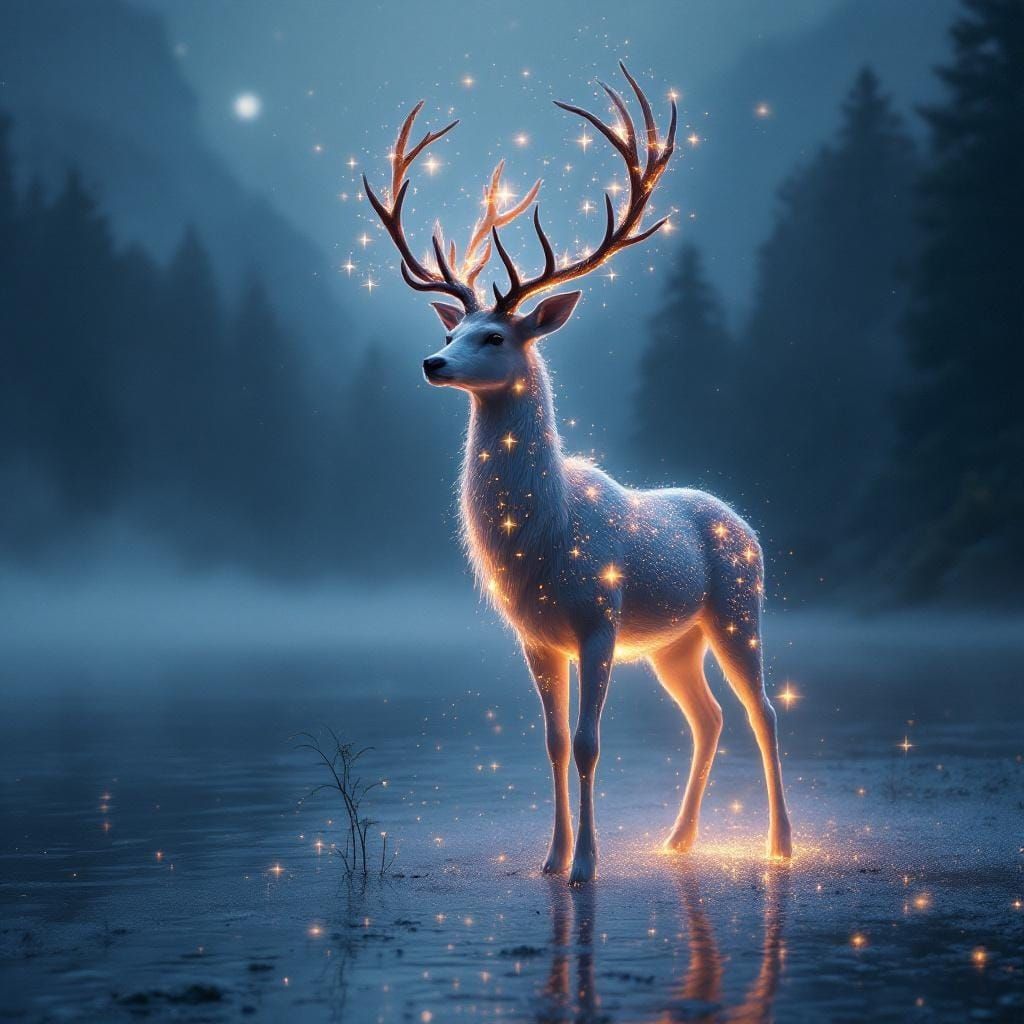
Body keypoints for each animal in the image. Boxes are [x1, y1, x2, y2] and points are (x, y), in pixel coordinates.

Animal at [363, 64, 792, 885]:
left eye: (494, 336)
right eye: (453, 331)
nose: (432, 362)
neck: (543, 534)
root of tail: (743, 521)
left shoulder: (599, 618)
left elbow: (592, 745)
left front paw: (588, 866)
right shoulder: (535, 636)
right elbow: (555, 744)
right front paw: (551, 858)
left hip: (737, 610)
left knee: (764, 711)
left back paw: (782, 844)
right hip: (673, 643)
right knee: (710, 716)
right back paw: (679, 838)